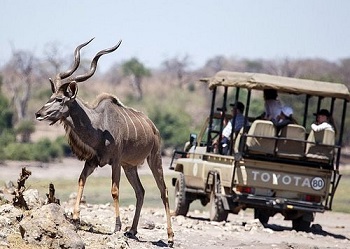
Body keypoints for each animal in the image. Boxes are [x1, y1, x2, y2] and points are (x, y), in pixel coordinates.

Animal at [34, 39, 174, 245]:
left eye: (59, 99)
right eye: (50, 97)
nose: (38, 114)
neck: (99, 124)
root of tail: (153, 127)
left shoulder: (115, 161)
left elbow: (114, 190)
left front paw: (117, 226)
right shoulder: (93, 161)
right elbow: (81, 180)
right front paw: (76, 218)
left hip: (154, 158)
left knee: (163, 190)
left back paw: (170, 237)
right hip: (130, 166)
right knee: (140, 191)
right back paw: (133, 230)